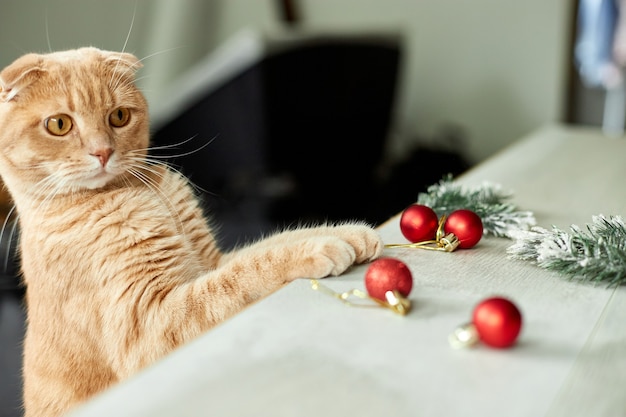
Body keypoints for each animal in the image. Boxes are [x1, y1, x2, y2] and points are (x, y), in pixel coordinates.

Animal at [0, 47, 382, 416]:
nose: (103, 151)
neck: (139, 190)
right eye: (59, 124)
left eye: (119, 117)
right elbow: (246, 272)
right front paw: (321, 247)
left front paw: (351, 234)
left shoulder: (211, 260)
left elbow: (269, 246)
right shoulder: (148, 325)